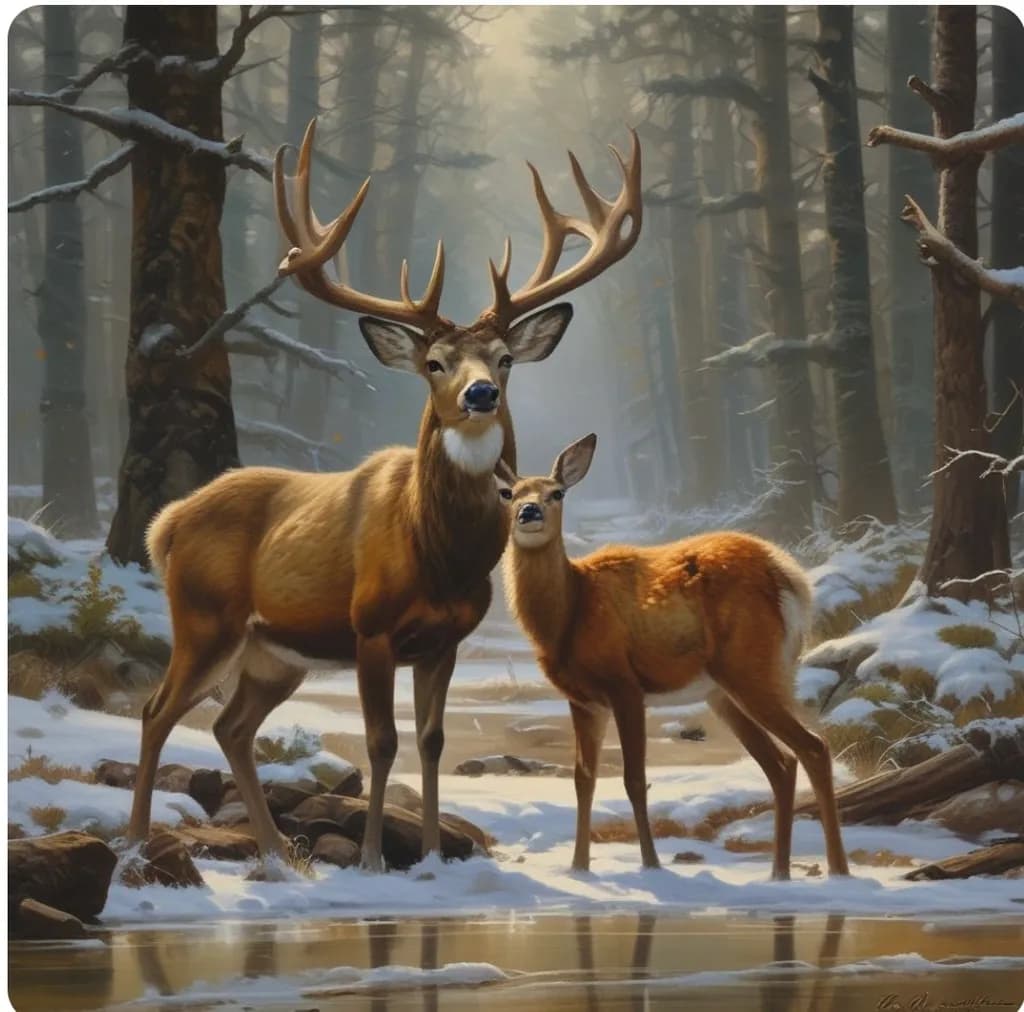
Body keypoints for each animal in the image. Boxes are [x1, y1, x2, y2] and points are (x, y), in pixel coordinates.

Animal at [125, 119, 642, 872]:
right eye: (434, 363)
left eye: (504, 359)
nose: (480, 394)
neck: (438, 554)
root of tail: (165, 524)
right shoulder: (370, 627)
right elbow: (380, 743)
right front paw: (372, 860)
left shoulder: (444, 639)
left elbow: (430, 742)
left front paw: (428, 857)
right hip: (204, 617)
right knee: (157, 710)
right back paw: (136, 844)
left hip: (272, 653)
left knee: (230, 726)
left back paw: (278, 854)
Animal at [496, 435, 849, 879]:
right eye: (509, 493)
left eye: (556, 492)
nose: (529, 512)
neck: (570, 614)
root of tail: (792, 579)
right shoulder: (583, 699)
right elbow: (584, 780)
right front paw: (578, 868)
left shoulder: (624, 685)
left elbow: (633, 779)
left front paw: (650, 864)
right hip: (724, 692)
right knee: (781, 764)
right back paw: (779, 873)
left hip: (752, 667)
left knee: (813, 747)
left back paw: (838, 870)